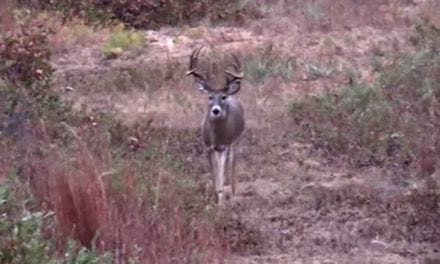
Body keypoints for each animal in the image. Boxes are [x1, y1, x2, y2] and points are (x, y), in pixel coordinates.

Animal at [185, 46, 244, 205]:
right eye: (210, 97)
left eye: (223, 97)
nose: (216, 110)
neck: (216, 136)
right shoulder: (207, 146)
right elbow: (213, 173)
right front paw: (215, 195)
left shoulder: (225, 145)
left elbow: (222, 171)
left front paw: (221, 199)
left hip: (236, 141)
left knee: (232, 163)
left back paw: (234, 194)